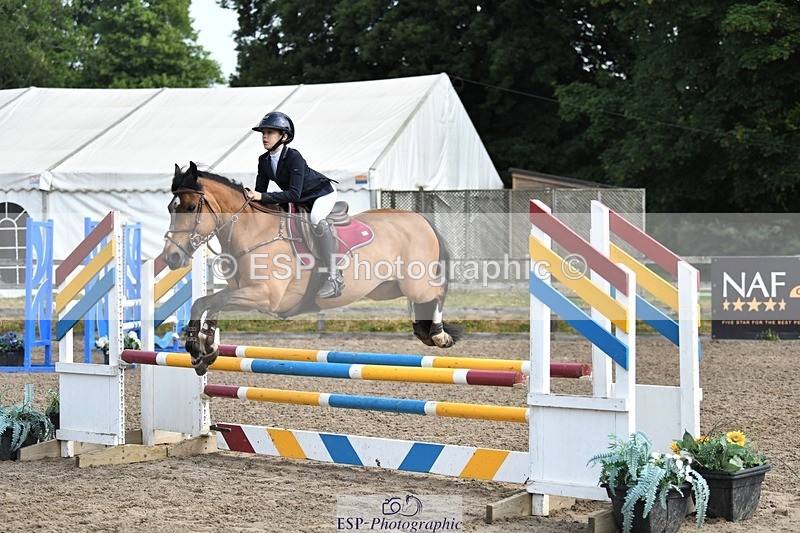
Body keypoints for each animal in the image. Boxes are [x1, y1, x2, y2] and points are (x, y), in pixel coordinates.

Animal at [162, 162, 462, 375]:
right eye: (169, 207)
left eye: (191, 206)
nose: (171, 258)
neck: (253, 232)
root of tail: (419, 219)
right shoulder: (239, 289)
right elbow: (208, 303)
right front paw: (202, 350)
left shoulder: (265, 296)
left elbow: (211, 302)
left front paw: (199, 348)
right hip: (386, 288)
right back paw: (424, 331)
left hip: (415, 283)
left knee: (438, 291)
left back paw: (439, 334)